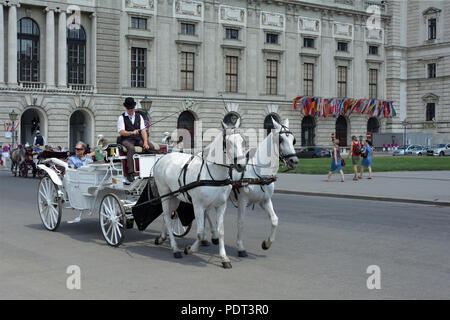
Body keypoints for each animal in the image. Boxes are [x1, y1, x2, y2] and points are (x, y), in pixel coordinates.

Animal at [154, 119, 246, 268]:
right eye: (228, 142)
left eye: (243, 141)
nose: (241, 166)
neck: (214, 173)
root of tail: (164, 157)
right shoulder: (198, 206)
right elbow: (200, 233)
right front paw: (190, 249)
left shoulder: (221, 205)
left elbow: (220, 231)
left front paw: (224, 258)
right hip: (165, 194)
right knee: (167, 218)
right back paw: (175, 249)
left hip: (174, 196)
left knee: (167, 215)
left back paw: (162, 237)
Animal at [205, 118, 298, 258]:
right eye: (280, 139)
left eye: (293, 140)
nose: (294, 161)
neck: (258, 171)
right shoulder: (242, 200)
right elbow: (241, 223)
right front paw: (240, 248)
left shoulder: (264, 200)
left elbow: (274, 220)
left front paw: (267, 243)